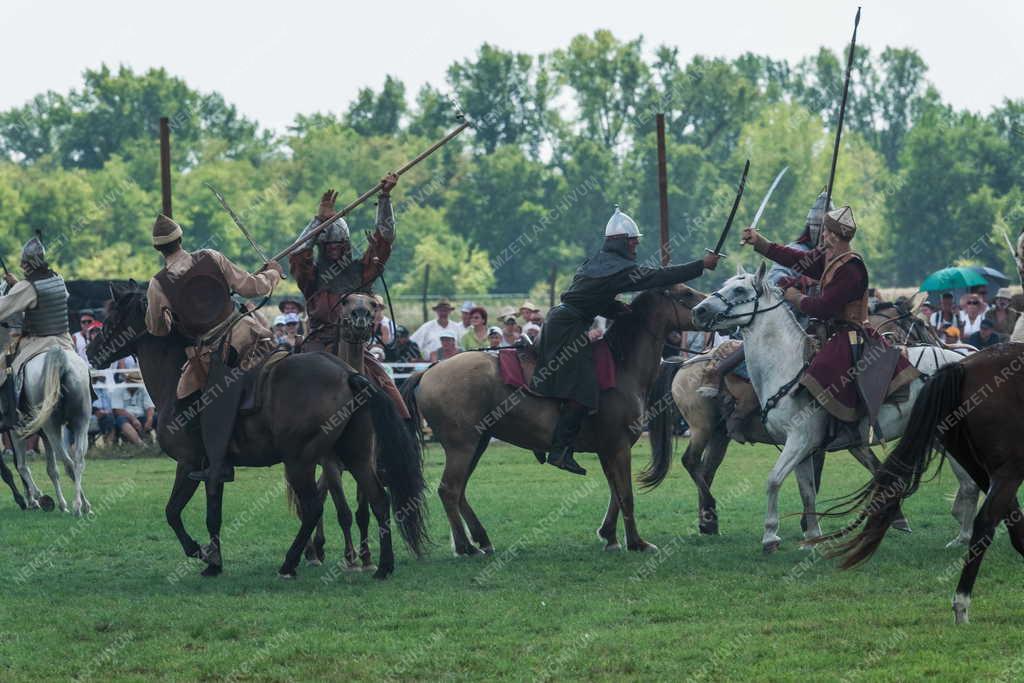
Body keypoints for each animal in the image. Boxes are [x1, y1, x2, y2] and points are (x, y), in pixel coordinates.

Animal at [83, 280, 428, 581]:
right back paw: (383, 566)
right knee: (378, 500)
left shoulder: (189, 463)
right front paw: (214, 562)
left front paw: (200, 552)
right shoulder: (213, 469)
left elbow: (173, 512)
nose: (90, 351)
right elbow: (213, 513)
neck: (179, 382)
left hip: (301, 460)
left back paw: (290, 563)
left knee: (313, 508)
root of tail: (348, 375)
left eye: (113, 314)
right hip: (354, 456)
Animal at [403, 282, 708, 557]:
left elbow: (615, 491)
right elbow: (625, 495)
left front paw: (609, 536)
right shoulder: (618, 447)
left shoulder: (608, 450)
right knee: (449, 490)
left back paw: (480, 539)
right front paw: (636, 543)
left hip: (478, 444)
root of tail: (429, 371)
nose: (707, 308)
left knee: (460, 491)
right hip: (462, 447)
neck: (622, 366)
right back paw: (466, 546)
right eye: (685, 293)